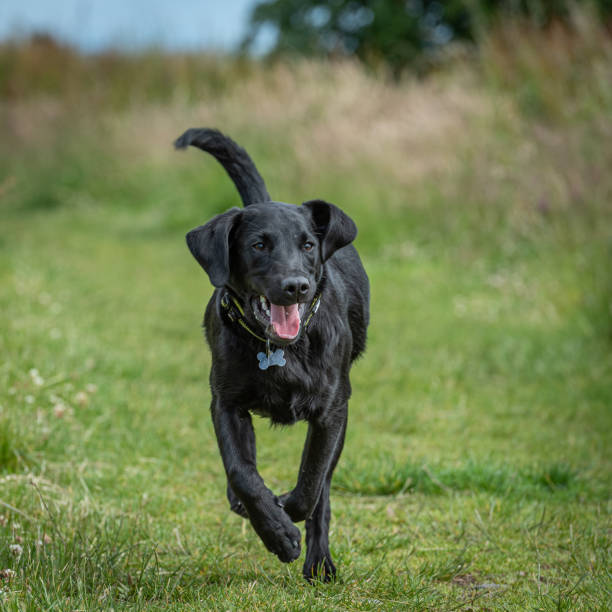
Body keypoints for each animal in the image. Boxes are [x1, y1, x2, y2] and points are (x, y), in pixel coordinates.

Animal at [175, 128, 370, 580]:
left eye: (308, 245)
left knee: (323, 490)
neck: (281, 350)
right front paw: (275, 531)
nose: (296, 286)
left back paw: (320, 564)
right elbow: (241, 471)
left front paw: (287, 519)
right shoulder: (226, 403)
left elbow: (312, 482)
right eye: (259, 245)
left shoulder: (332, 412)